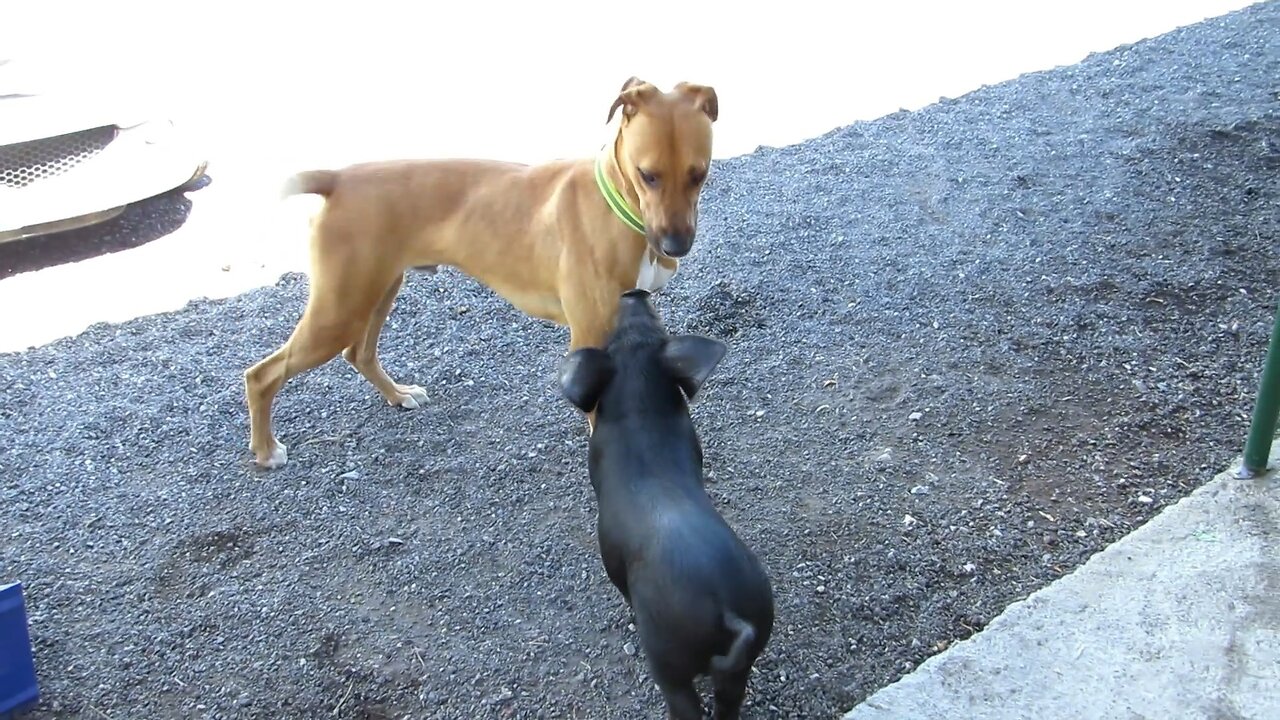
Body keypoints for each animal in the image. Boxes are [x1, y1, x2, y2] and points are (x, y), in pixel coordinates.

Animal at [241, 77, 721, 466]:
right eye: (648, 175)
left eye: (699, 175)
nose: (675, 246)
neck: (618, 202)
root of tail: (337, 178)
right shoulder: (590, 336)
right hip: (340, 309)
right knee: (262, 375)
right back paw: (266, 451)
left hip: (376, 291)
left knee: (358, 353)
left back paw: (398, 396)